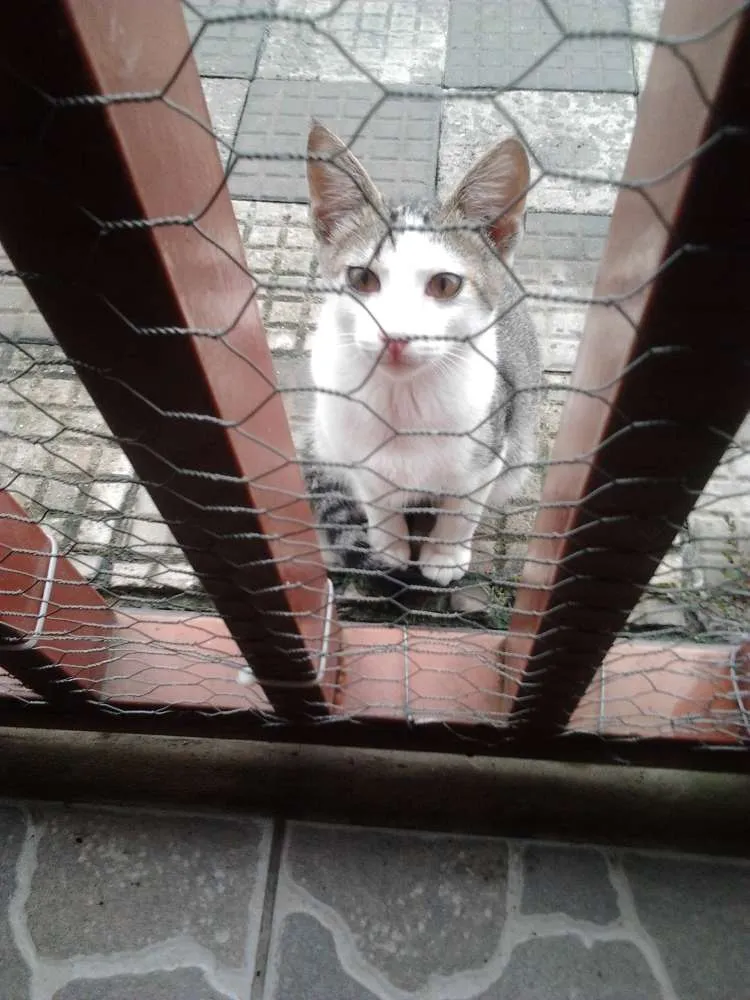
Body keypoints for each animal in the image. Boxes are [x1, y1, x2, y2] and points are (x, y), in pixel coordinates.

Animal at [304, 121, 541, 588]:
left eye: (445, 284)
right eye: (362, 278)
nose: (395, 335)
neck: (402, 402)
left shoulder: (488, 451)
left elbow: (462, 509)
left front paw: (444, 555)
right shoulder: (358, 458)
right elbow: (379, 504)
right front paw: (391, 549)